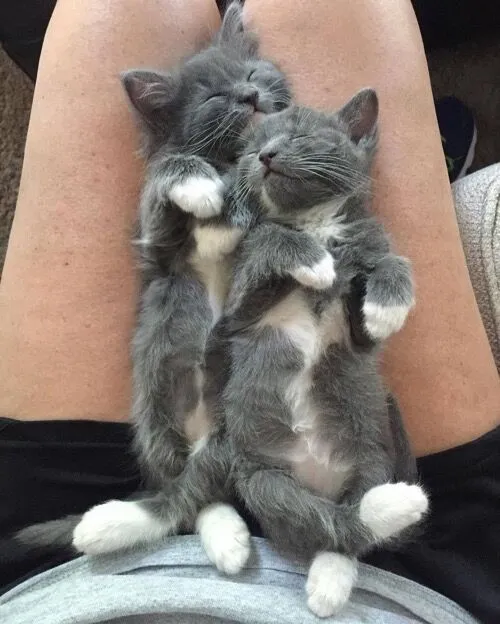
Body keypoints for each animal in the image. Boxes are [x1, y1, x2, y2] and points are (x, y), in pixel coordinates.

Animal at [219, 90, 427, 617]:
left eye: (299, 135)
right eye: (249, 150)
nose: (267, 155)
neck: (316, 223)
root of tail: (322, 482)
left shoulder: (361, 310)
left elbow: (389, 264)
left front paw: (386, 308)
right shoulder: (238, 310)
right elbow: (268, 237)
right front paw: (313, 261)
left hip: (373, 454)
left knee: (346, 527)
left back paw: (342, 565)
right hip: (263, 481)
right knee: (328, 523)